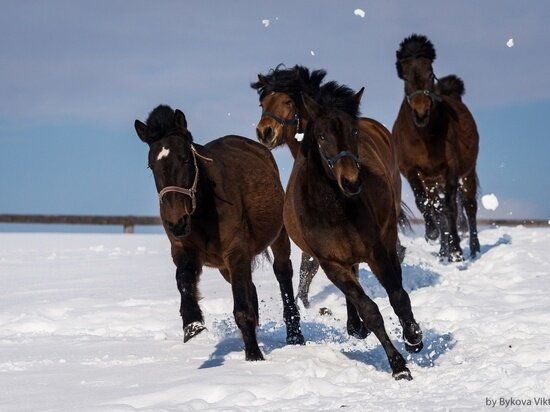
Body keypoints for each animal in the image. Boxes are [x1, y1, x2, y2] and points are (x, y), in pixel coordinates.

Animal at [135, 104, 306, 360]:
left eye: (185, 159)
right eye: (151, 165)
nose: (176, 222)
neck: (204, 209)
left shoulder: (235, 251)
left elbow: (242, 308)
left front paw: (254, 356)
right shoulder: (184, 250)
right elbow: (184, 281)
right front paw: (192, 324)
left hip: (277, 236)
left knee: (283, 273)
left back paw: (295, 335)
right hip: (225, 267)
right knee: (251, 287)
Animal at [282, 81, 424, 380]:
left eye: (354, 131)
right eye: (321, 136)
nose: (351, 182)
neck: (334, 209)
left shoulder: (377, 251)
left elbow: (398, 296)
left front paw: (413, 337)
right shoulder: (331, 263)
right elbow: (369, 310)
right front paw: (398, 366)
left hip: (388, 235)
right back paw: (355, 326)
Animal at [392, 35, 484, 260]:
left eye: (429, 72)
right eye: (405, 77)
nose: (421, 112)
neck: (424, 136)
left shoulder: (451, 168)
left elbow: (451, 208)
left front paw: (457, 250)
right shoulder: (411, 171)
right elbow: (424, 203)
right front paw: (432, 234)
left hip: (467, 173)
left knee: (469, 206)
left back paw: (473, 249)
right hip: (432, 181)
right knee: (438, 207)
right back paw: (443, 250)